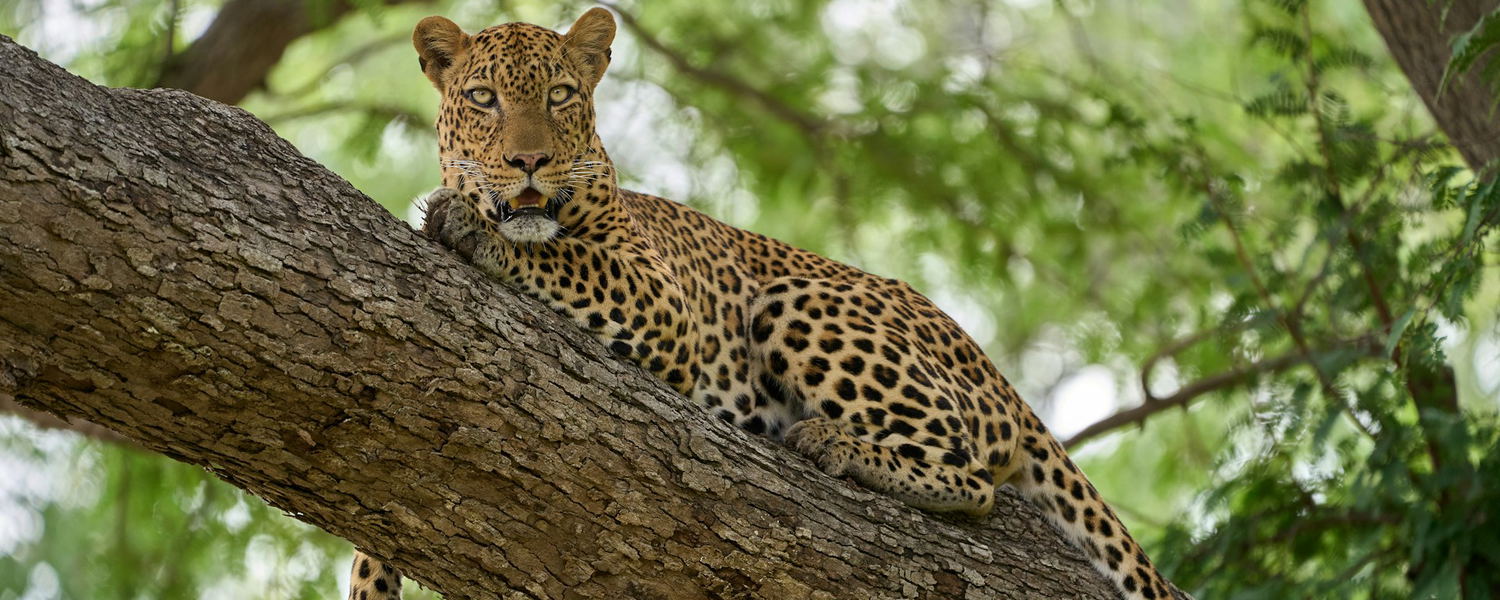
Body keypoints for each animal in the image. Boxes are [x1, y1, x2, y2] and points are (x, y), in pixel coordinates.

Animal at [348, 8, 1186, 600]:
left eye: (560, 97)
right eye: (483, 99)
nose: (529, 161)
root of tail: (995, 371)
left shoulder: (663, 306)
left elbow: (562, 254)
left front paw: (472, 228)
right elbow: (369, 531)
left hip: (799, 300)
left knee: (972, 476)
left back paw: (836, 445)